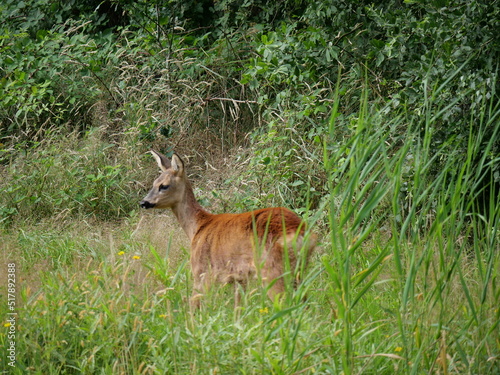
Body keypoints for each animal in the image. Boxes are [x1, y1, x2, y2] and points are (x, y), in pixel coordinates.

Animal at [139, 151, 314, 306]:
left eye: (164, 186)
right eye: (154, 183)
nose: (143, 202)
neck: (197, 227)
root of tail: (299, 232)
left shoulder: (201, 271)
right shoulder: (239, 278)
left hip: (272, 269)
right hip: (298, 270)